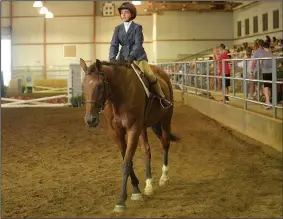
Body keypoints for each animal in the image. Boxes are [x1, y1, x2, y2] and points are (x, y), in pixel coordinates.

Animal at [80, 57, 181, 212]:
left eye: (100, 86)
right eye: (83, 87)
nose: (90, 120)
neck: (120, 94)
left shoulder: (133, 128)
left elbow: (127, 163)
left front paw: (121, 200)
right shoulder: (116, 132)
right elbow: (127, 159)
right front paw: (136, 189)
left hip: (165, 119)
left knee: (165, 143)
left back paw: (164, 177)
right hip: (144, 127)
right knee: (146, 150)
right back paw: (149, 184)